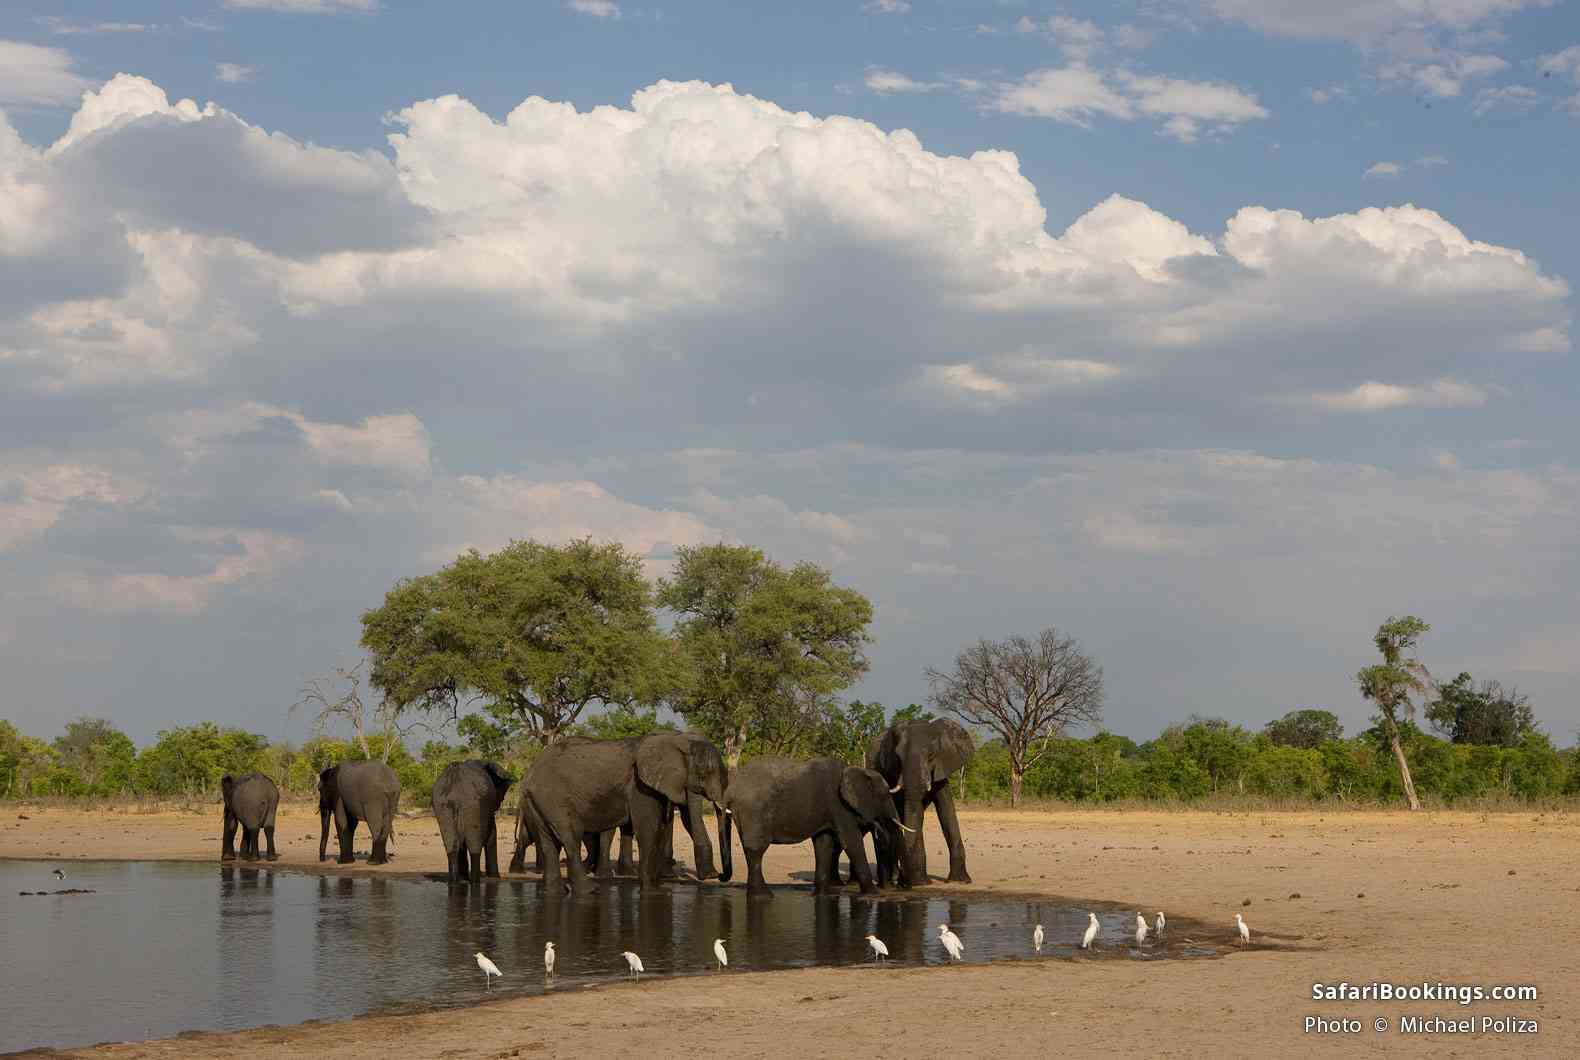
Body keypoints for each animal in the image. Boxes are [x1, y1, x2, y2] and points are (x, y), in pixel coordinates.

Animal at [517, 732, 730, 893]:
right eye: (704, 774)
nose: (719, 876)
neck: (676, 739)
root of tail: (529, 773)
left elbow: (667, 825)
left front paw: (659, 888)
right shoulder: (639, 786)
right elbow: (649, 829)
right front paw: (653, 892)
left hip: (537, 801)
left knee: (547, 842)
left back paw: (555, 892)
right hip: (554, 798)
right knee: (570, 836)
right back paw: (589, 890)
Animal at [721, 756, 909, 896]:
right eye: (885, 796)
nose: (900, 884)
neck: (856, 770)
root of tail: (730, 790)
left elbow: (824, 843)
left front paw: (822, 895)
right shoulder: (839, 805)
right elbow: (851, 842)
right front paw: (873, 894)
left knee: (750, 849)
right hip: (754, 811)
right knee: (756, 850)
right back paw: (763, 896)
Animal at [867, 718, 974, 885]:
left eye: (931, 756)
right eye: (898, 758)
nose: (906, 879)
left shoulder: (941, 768)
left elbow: (947, 812)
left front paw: (961, 881)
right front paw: (920, 883)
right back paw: (891, 880)